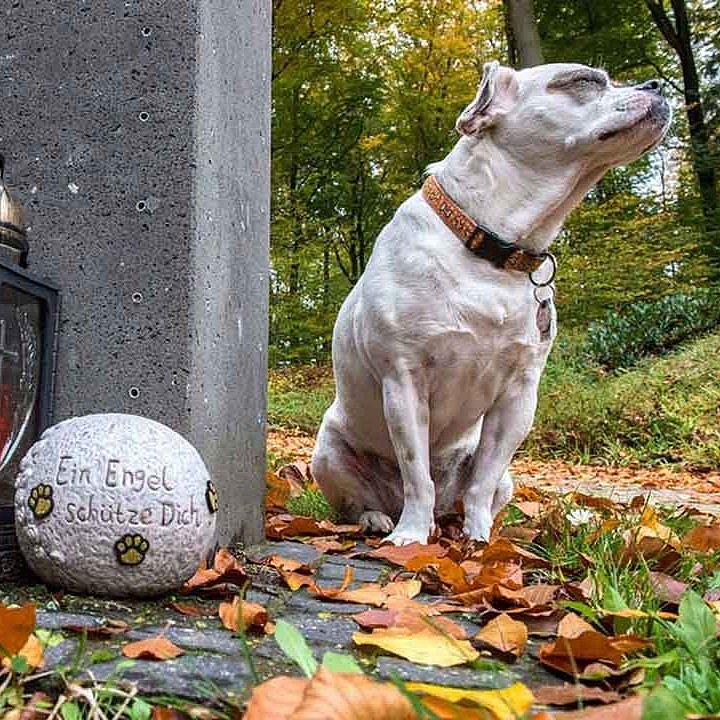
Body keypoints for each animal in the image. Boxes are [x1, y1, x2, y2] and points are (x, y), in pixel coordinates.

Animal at [312, 63, 672, 544]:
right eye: (583, 80)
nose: (656, 85)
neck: (491, 247)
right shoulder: (404, 381)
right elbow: (416, 472)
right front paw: (410, 537)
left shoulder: (518, 397)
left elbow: (483, 478)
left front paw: (480, 538)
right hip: (328, 455)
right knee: (365, 501)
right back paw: (382, 518)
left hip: (504, 479)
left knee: (469, 491)